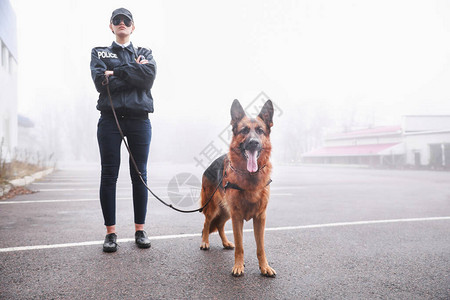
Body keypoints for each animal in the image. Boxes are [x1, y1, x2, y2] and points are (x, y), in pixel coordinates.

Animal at [200, 99, 276, 278]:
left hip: (226, 212)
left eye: (260, 131)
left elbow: (260, 247)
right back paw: (205, 242)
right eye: (244, 130)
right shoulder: (237, 217)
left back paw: (226, 242)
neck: (250, 178)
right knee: (207, 223)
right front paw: (238, 266)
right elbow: (240, 245)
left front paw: (264, 267)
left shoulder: (260, 218)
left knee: (220, 225)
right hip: (214, 208)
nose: (254, 143)